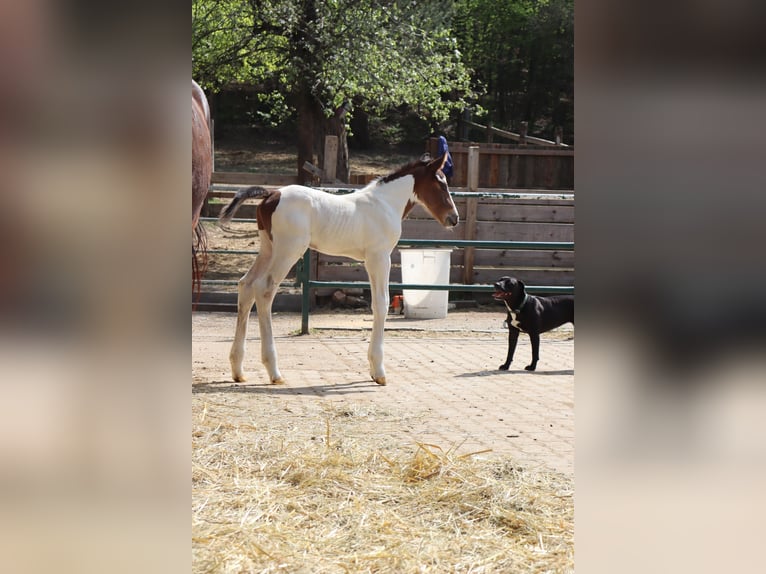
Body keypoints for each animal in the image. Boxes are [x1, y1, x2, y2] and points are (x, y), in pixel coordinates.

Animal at [219, 153, 460, 388]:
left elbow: (375, 304)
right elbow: (381, 304)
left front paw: (373, 370)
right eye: (441, 184)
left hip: (268, 249)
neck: (384, 204)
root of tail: (272, 194)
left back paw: (237, 370)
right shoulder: (379, 257)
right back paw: (274, 372)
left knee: (246, 285)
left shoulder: (370, 260)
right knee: (264, 289)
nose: (454, 218)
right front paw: (379, 372)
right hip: (288, 251)